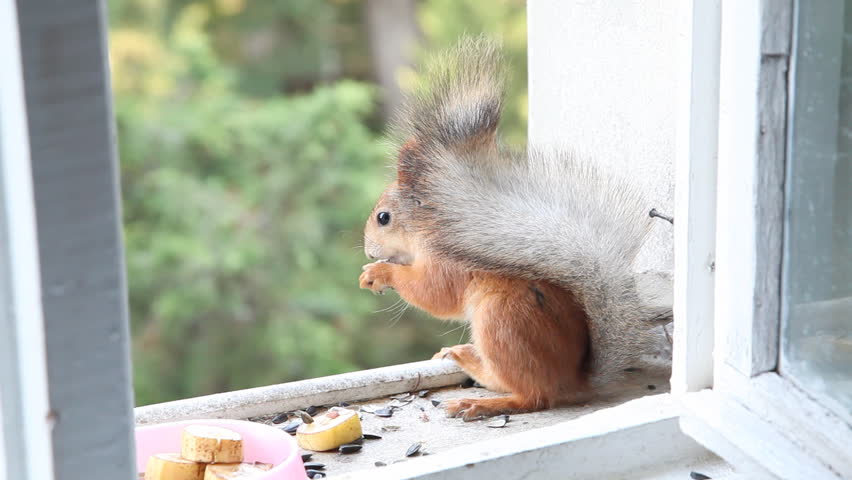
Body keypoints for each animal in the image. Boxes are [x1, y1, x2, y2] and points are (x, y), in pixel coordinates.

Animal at [359, 36, 673, 421]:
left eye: (383, 218)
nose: (368, 249)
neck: (431, 228)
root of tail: (573, 380)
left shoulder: (447, 263)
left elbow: (435, 295)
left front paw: (379, 272)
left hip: (501, 321)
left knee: (532, 397)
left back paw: (480, 399)